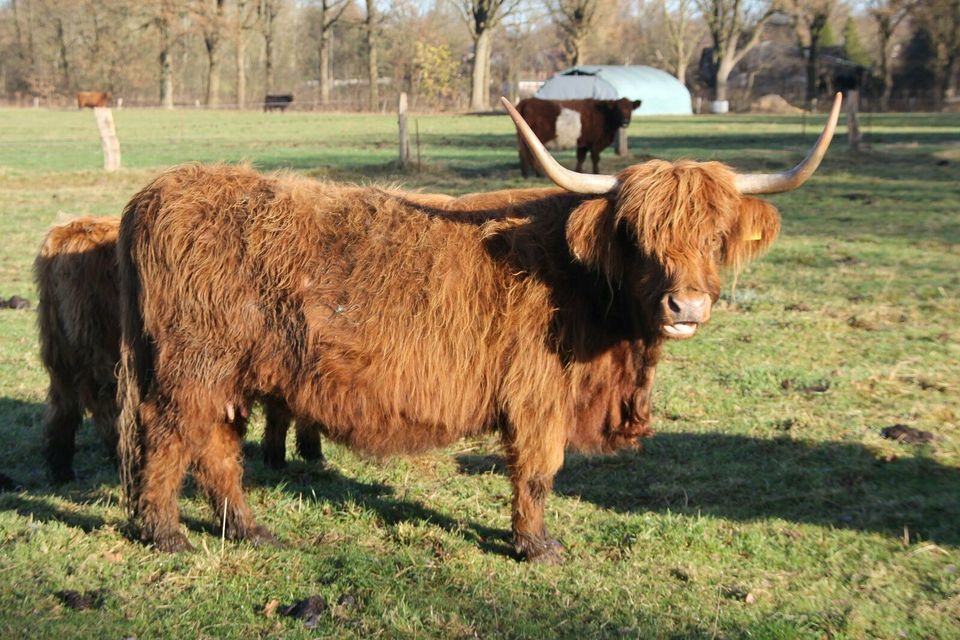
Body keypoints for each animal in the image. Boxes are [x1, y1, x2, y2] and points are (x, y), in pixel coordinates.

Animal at [35, 218, 324, 482]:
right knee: (103, 405)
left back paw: (60, 469)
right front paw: (288, 455)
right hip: (101, 351)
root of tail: (67, 232)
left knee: (63, 406)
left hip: (61, 353)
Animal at [512, 97, 640, 178]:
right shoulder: (595, 143)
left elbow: (581, 158)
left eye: (630, 109)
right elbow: (595, 158)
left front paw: (579, 171)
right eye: (618, 109)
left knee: (522, 153)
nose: (625, 121)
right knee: (530, 155)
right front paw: (596, 172)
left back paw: (526, 174)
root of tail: (527, 101)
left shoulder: (583, 144)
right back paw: (539, 174)